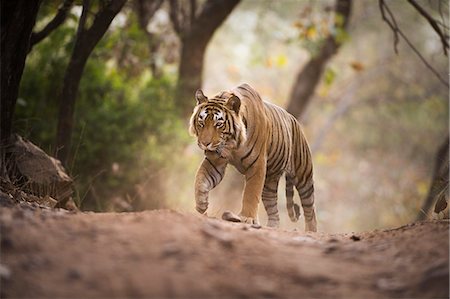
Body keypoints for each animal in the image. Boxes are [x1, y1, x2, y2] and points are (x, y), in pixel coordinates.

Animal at [188, 83, 318, 233]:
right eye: (201, 123)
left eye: (218, 124)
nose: (205, 143)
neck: (232, 145)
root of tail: (294, 120)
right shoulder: (215, 161)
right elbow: (201, 179)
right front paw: (201, 204)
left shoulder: (257, 165)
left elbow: (250, 193)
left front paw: (247, 218)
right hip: (269, 183)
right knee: (274, 210)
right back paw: (272, 226)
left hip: (303, 176)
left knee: (310, 208)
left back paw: (311, 231)